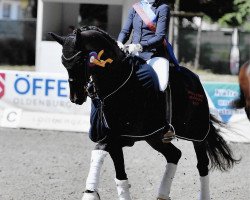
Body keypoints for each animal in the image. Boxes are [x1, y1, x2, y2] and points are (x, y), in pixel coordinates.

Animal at [49, 27, 238, 200]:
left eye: (80, 61)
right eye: (63, 63)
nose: (75, 98)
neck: (117, 83)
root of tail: (195, 79)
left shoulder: (122, 138)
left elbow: (100, 151)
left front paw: (89, 194)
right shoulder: (114, 139)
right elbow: (120, 176)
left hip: (197, 134)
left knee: (202, 165)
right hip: (154, 138)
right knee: (174, 155)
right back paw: (162, 195)